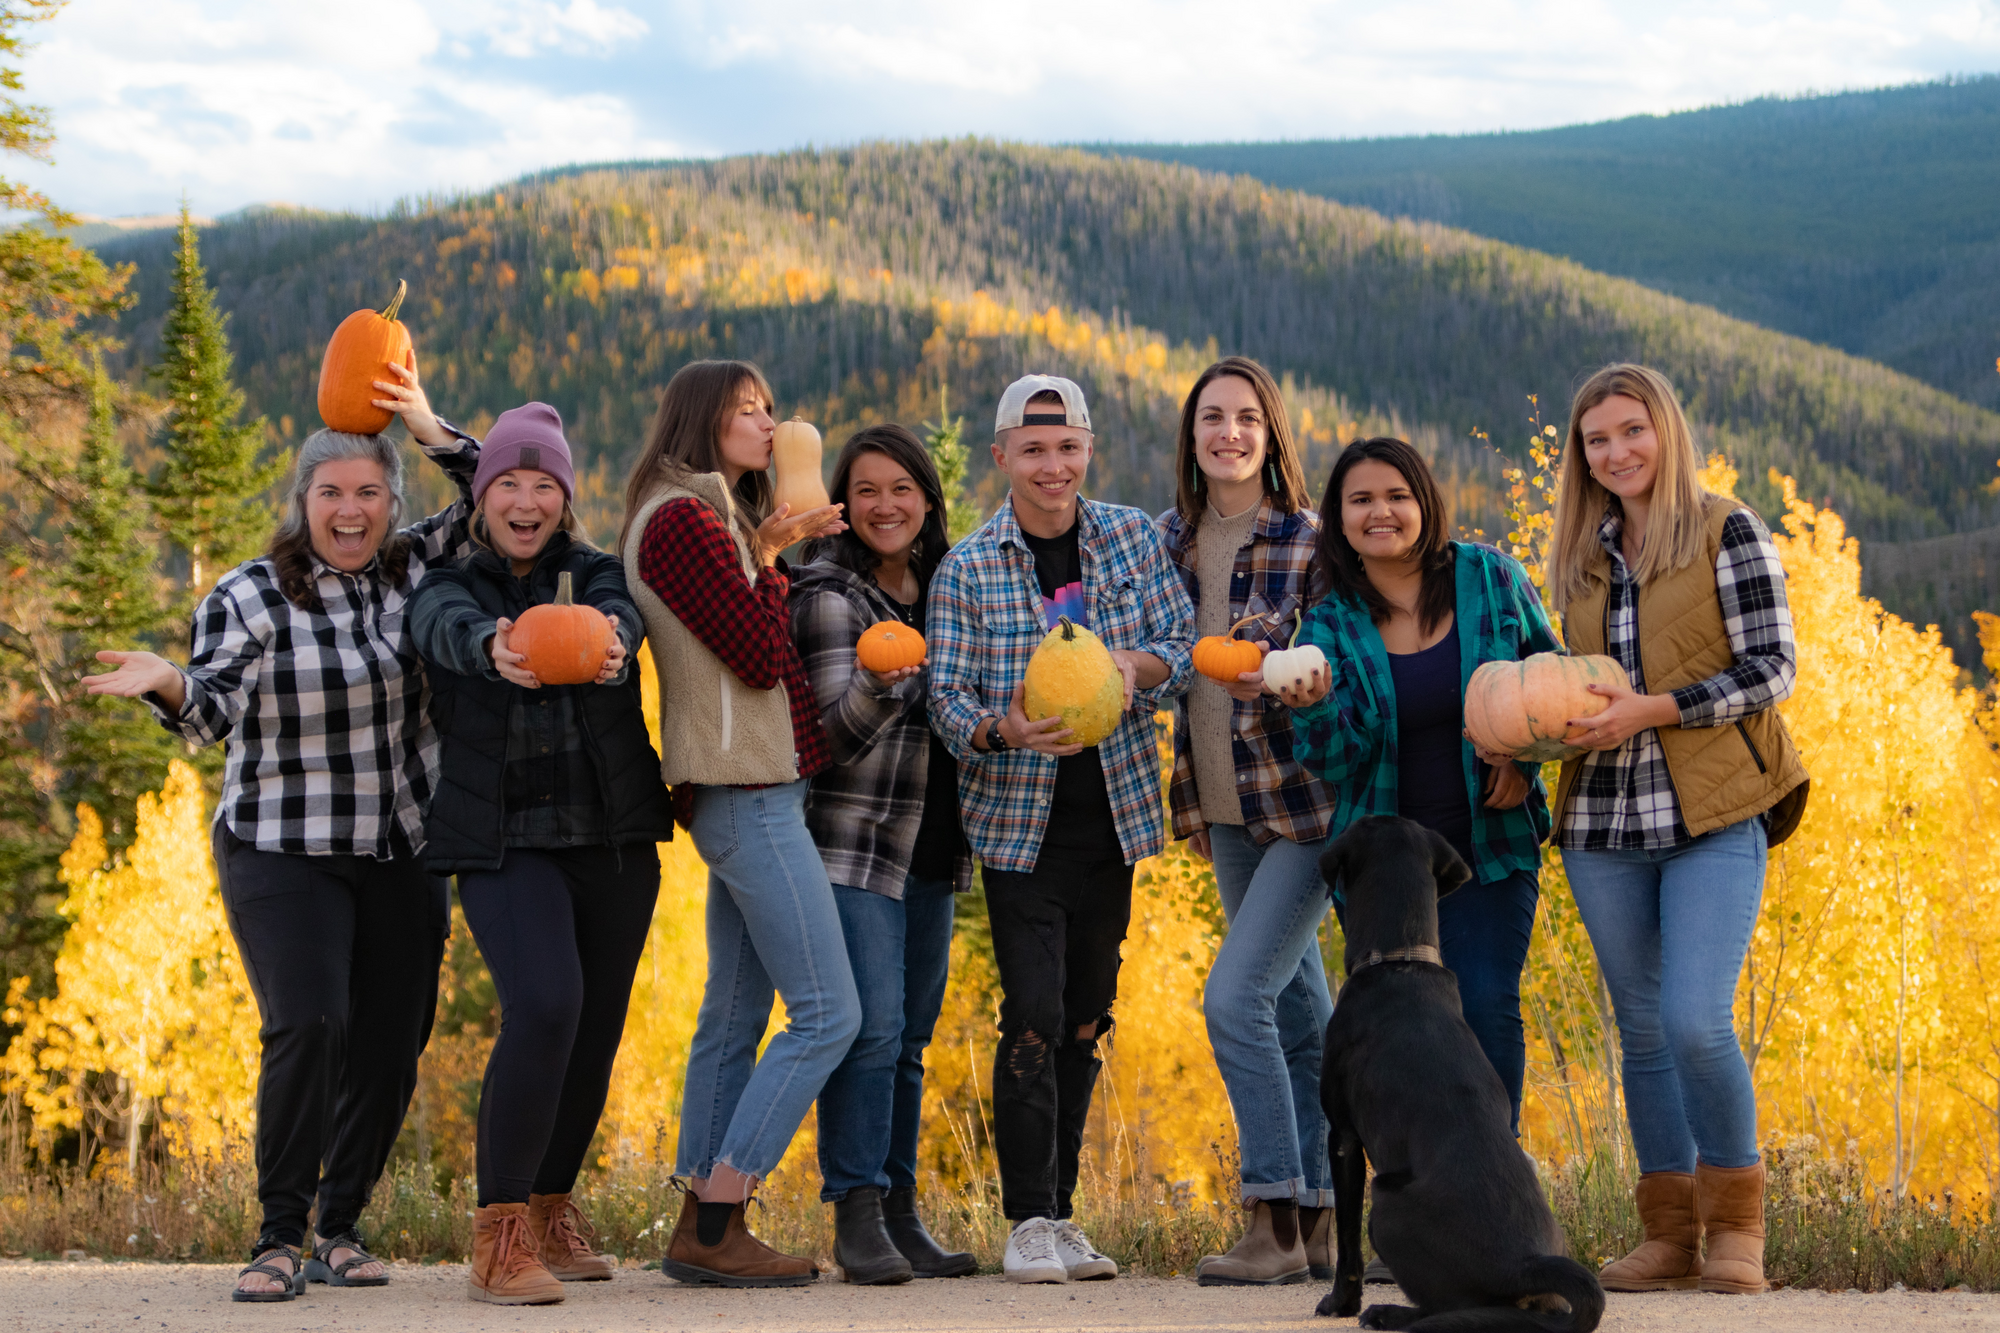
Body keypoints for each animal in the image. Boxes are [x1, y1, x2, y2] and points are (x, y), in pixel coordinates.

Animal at [1312, 816, 1608, 1320]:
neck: (1401, 959)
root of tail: (1525, 1265)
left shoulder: (1343, 1136)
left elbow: (1347, 1240)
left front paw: (1340, 1302)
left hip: (1386, 1202)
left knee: (1446, 1307)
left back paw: (1390, 1314)